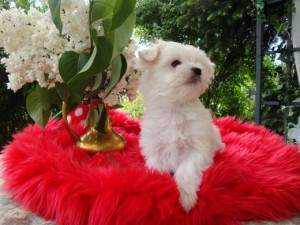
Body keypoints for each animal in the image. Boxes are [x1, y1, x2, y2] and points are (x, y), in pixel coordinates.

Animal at [137, 40, 224, 213]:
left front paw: (186, 198)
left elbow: (187, 170)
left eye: (199, 63)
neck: (176, 108)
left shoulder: (198, 148)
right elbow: (157, 170)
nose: (198, 70)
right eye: (175, 63)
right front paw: (161, 188)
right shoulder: (154, 149)